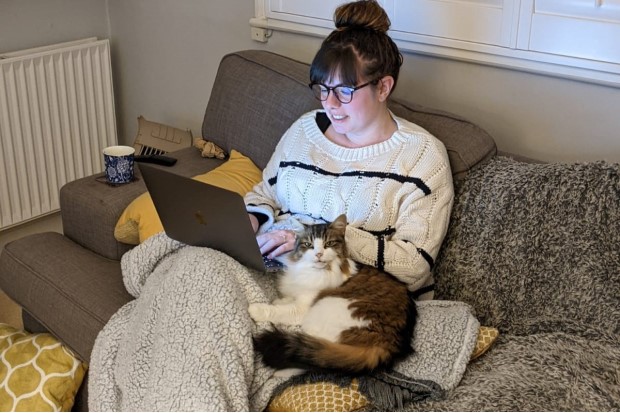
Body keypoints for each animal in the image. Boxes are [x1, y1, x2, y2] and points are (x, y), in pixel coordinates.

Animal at [247, 214, 416, 374]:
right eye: (308, 245)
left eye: (328, 244)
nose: (319, 254)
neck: (311, 271)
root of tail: (388, 345)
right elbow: (288, 299)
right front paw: (280, 300)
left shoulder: (302, 309)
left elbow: (279, 311)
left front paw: (256, 309)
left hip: (325, 309)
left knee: (316, 356)